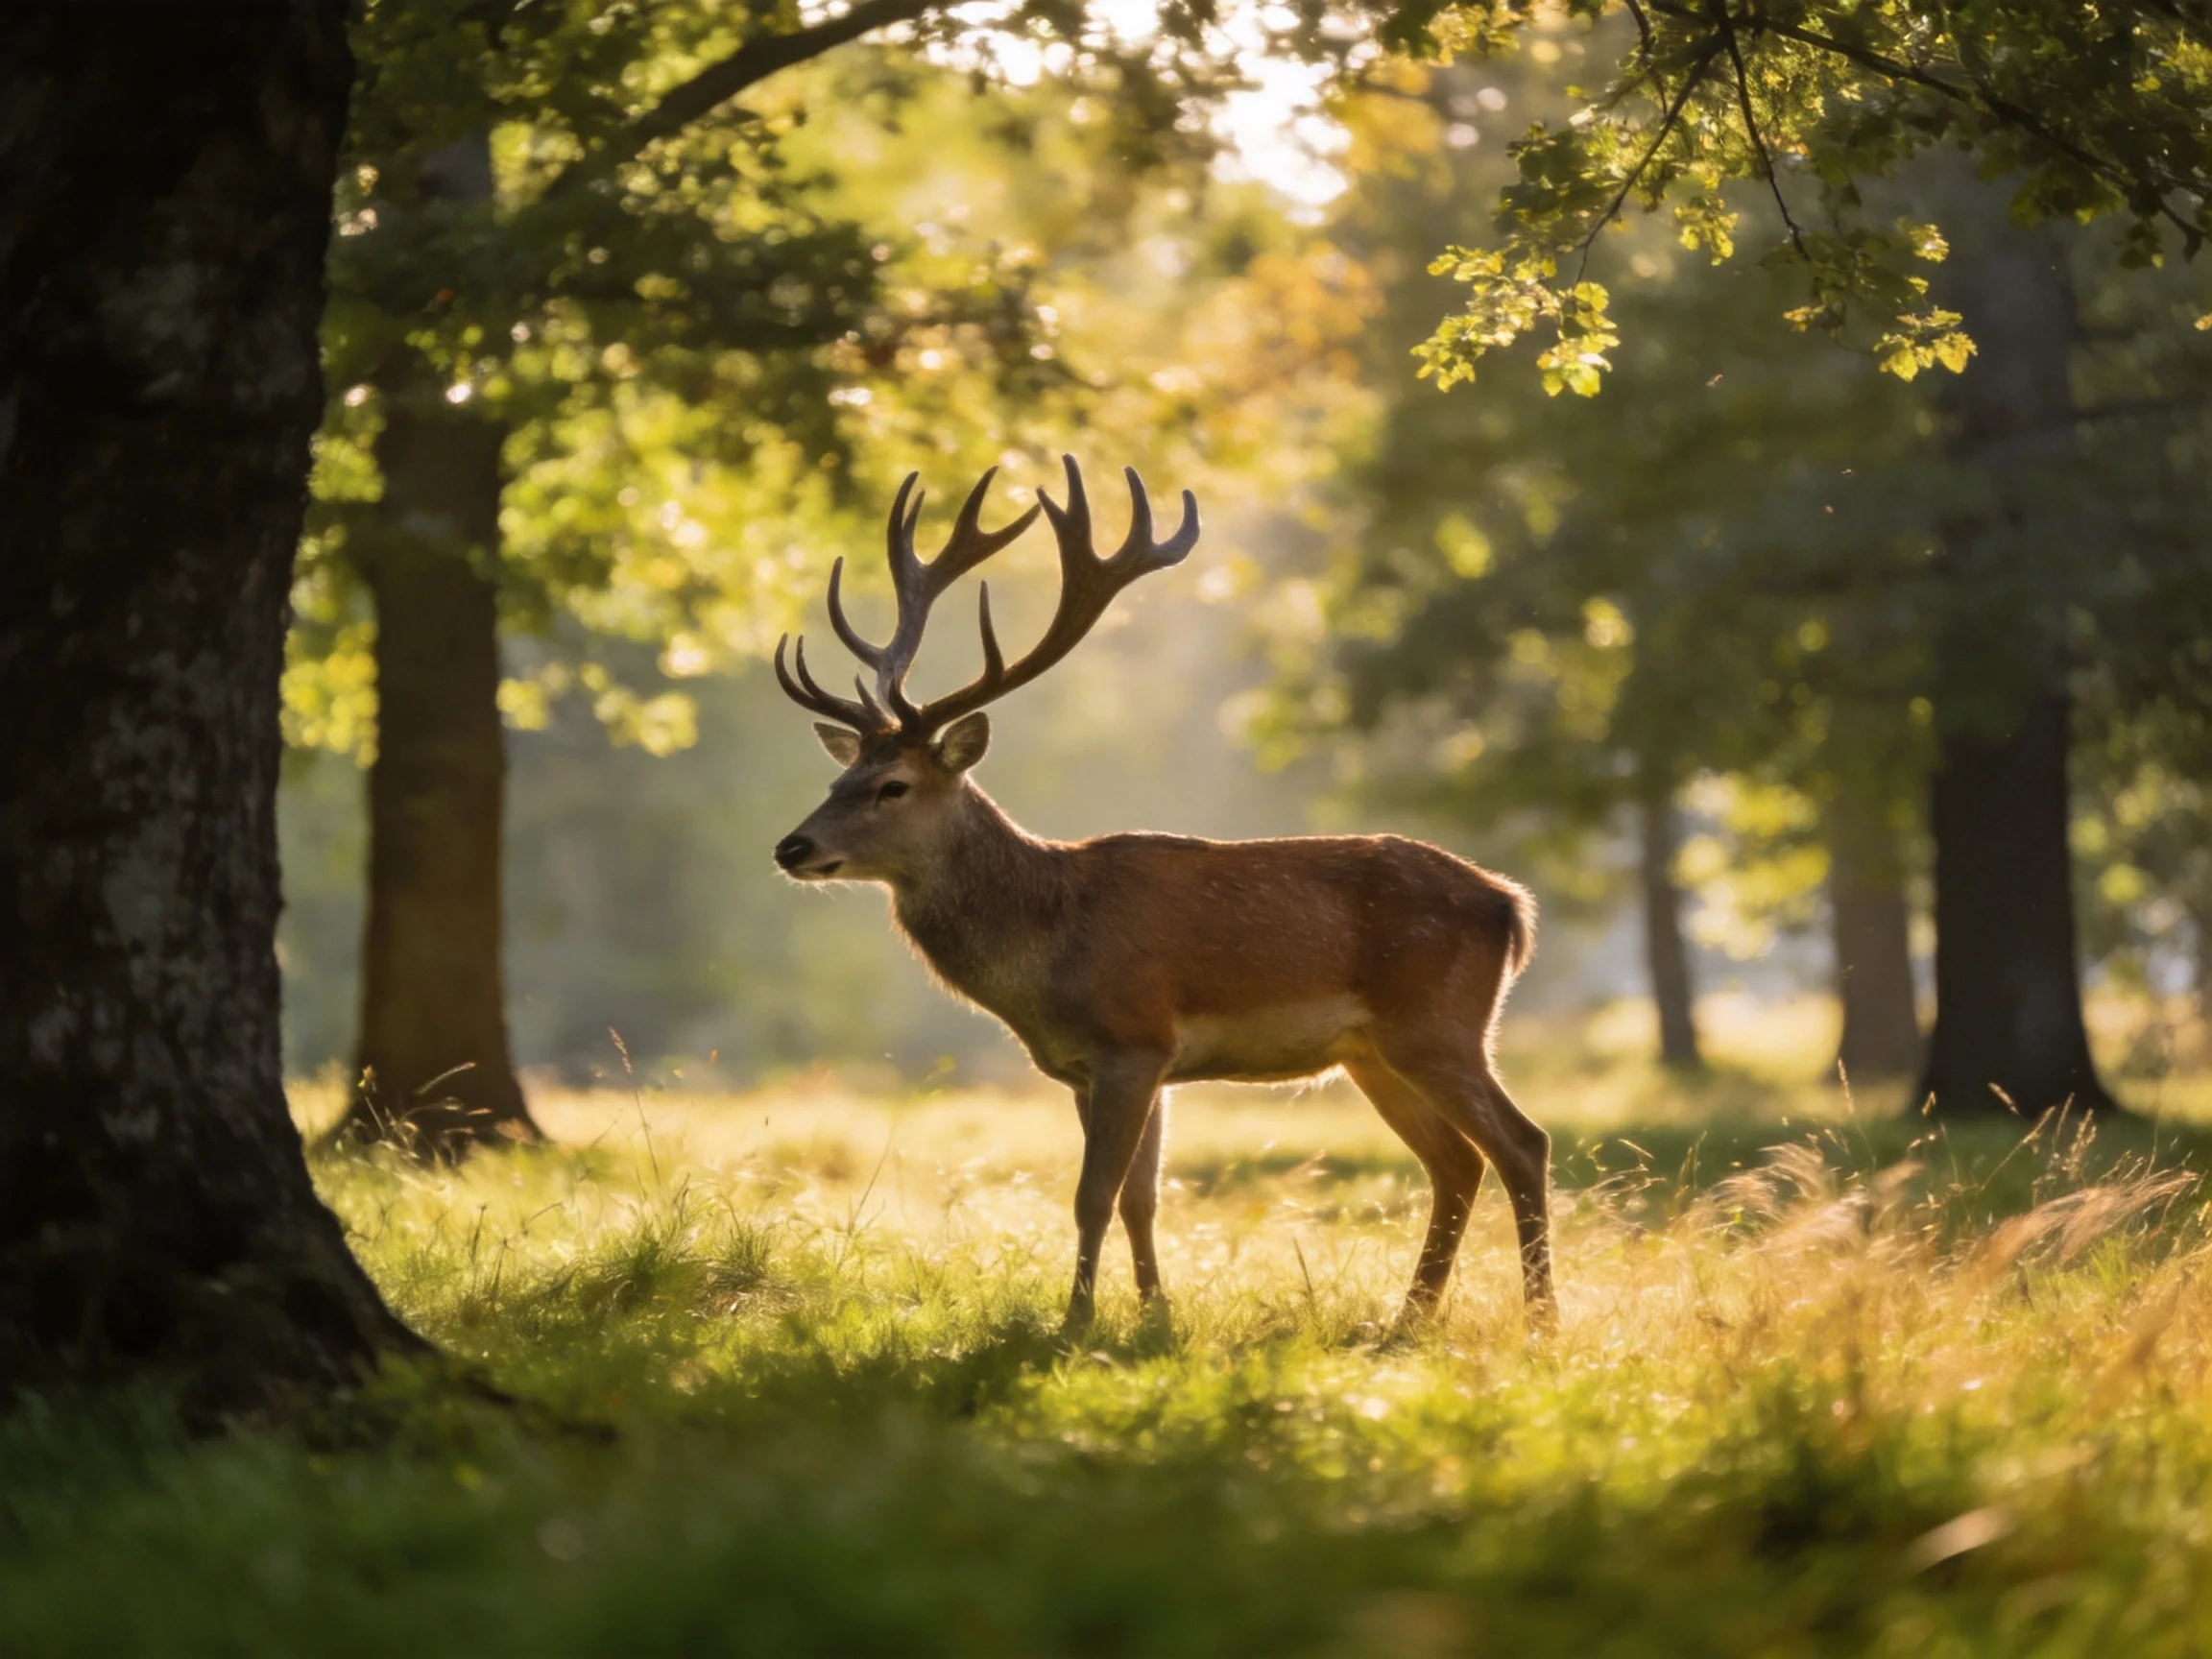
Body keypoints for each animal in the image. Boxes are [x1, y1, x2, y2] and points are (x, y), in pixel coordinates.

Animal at [771, 457, 1552, 1333]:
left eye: (893, 786)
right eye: (837, 779)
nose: (792, 848)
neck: (1047, 947)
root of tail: (1511, 905)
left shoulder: (1133, 1040)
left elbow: (1092, 1196)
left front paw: (1075, 1325)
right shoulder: (1104, 1067)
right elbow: (1140, 1198)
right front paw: (1154, 1318)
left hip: (1438, 1023)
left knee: (1522, 1143)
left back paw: (1539, 1322)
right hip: (1373, 1051)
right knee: (1455, 1162)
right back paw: (1406, 1322)